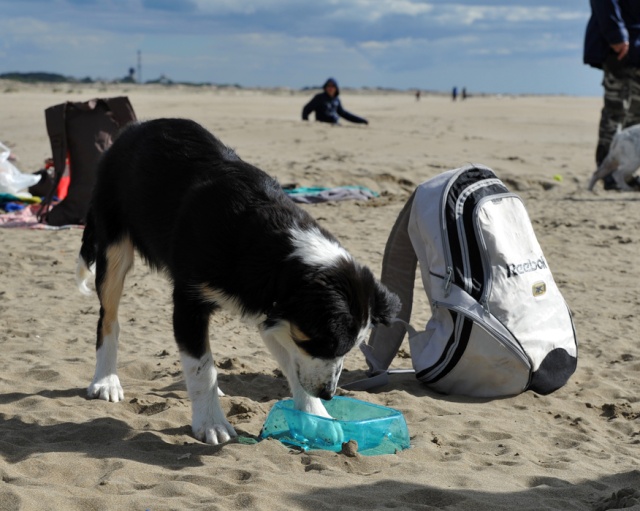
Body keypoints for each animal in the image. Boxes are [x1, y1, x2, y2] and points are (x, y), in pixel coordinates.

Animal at [76, 118, 400, 446]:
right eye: (325, 343)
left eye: (349, 349)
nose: (329, 394)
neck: (275, 251)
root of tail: (135, 127)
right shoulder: (190, 301)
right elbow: (200, 368)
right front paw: (211, 423)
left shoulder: (275, 313)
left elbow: (291, 364)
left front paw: (315, 417)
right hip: (114, 246)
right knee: (108, 319)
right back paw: (106, 381)